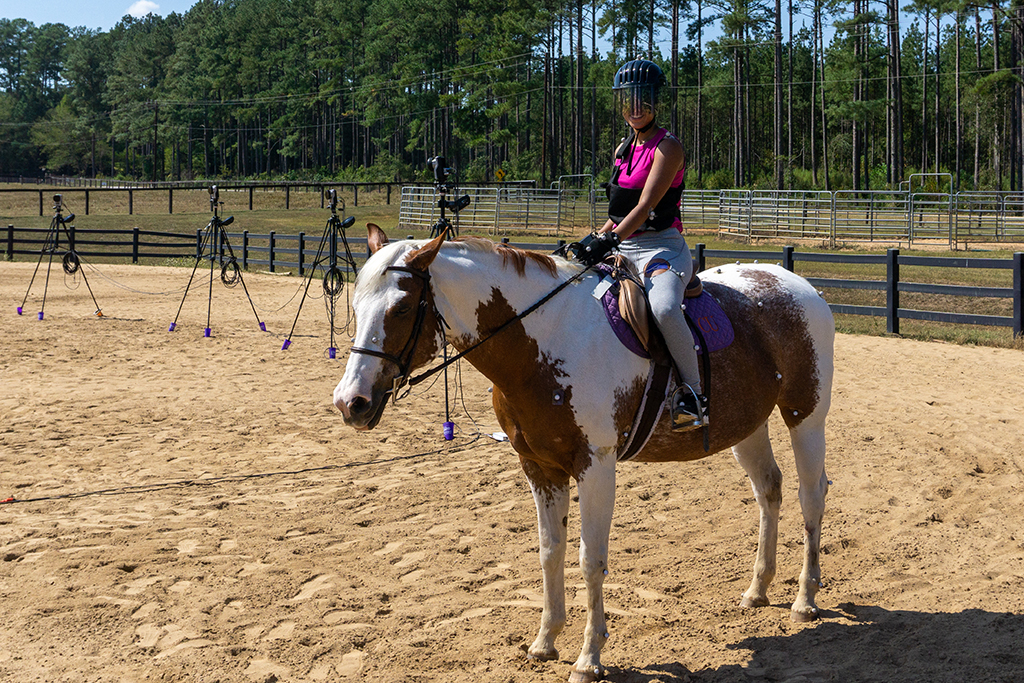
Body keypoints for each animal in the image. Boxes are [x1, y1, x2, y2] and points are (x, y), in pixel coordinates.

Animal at [333, 225, 831, 683]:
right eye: (354, 307)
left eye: (400, 309)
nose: (350, 402)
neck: (545, 339)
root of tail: (793, 281)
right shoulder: (539, 467)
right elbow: (549, 550)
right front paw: (545, 640)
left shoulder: (596, 466)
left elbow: (590, 560)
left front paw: (589, 658)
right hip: (746, 427)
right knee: (769, 490)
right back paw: (758, 589)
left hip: (805, 417)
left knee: (811, 497)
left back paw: (805, 599)